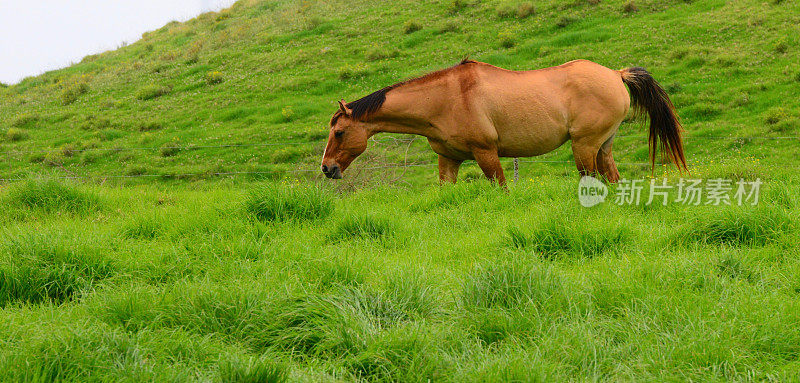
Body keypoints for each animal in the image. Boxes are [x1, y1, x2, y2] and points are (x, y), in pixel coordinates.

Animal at [322, 59, 684, 185]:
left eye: (339, 132)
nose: (327, 168)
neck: (445, 99)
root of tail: (615, 74)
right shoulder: (448, 159)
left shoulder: (486, 154)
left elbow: (501, 188)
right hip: (602, 146)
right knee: (612, 179)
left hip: (585, 147)